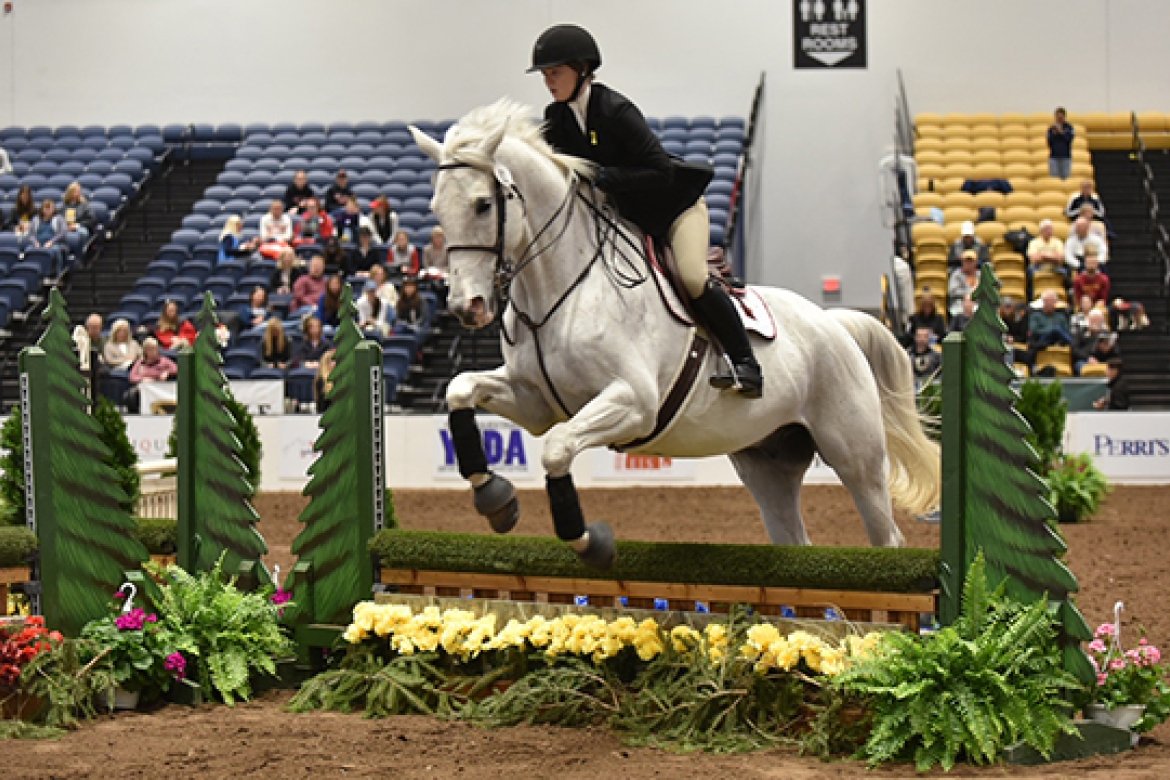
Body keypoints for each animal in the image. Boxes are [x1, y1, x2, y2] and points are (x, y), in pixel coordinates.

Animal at [407, 102, 935, 568]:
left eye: (482, 205)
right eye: (436, 208)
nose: (467, 307)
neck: (561, 288)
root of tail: (835, 323)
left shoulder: (633, 402)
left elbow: (557, 448)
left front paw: (589, 542)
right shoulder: (534, 401)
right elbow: (461, 389)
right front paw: (495, 499)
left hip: (855, 455)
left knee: (886, 536)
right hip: (768, 461)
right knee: (793, 537)